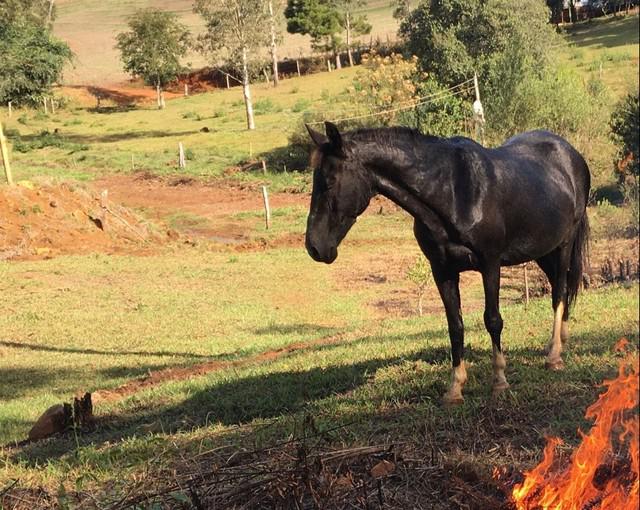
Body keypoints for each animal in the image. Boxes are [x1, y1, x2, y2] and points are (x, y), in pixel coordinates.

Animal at [304, 122, 592, 402]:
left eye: (329, 181)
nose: (314, 247)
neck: (454, 192)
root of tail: (570, 154)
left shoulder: (490, 264)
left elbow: (493, 319)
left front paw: (499, 381)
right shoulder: (442, 270)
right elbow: (455, 326)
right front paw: (455, 388)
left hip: (564, 244)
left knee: (560, 292)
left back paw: (554, 356)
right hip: (543, 250)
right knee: (559, 288)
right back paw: (558, 343)